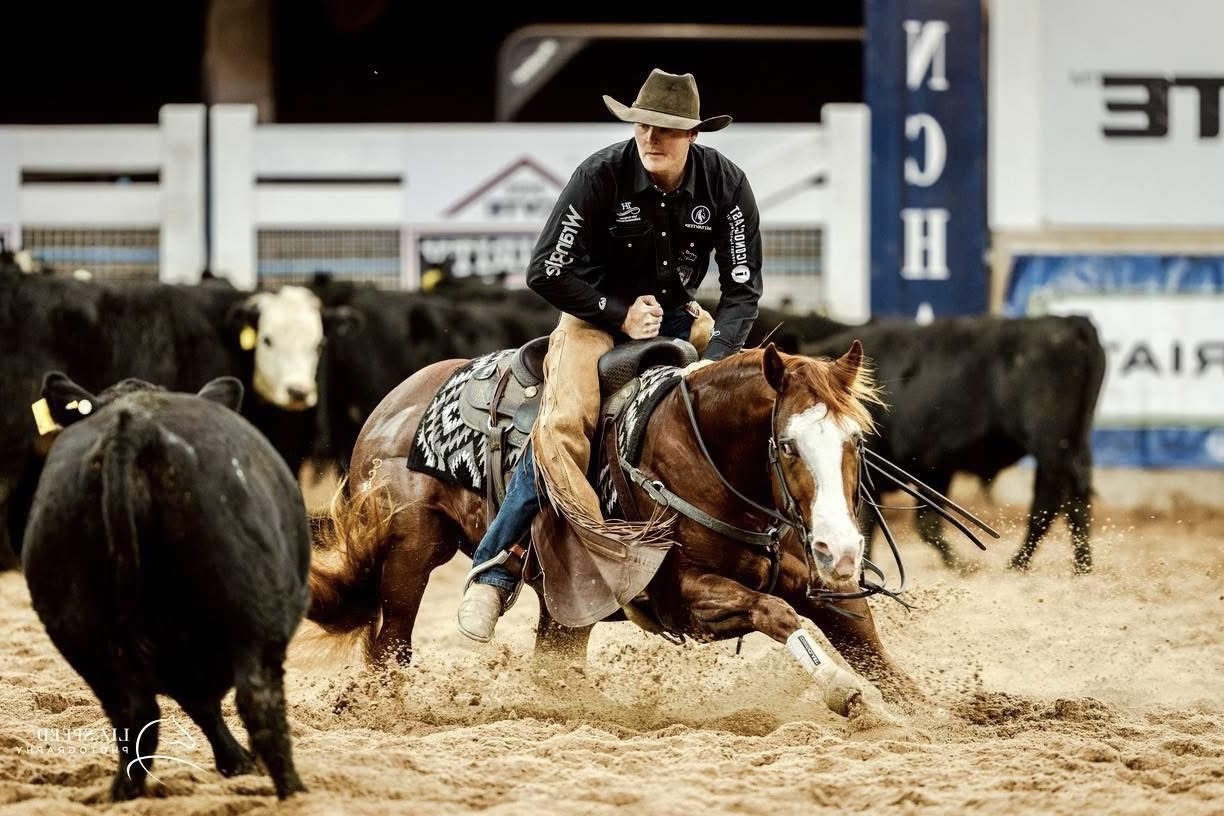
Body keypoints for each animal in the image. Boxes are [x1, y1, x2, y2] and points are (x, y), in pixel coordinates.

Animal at [307, 339, 929, 718]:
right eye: (787, 444)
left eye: (856, 441)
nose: (840, 549)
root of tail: (390, 407)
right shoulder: (683, 596)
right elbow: (778, 614)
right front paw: (843, 691)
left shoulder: (821, 587)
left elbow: (878, 653)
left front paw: (932, 715)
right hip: (410, 553)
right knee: (391, 648)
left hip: (564, 601)